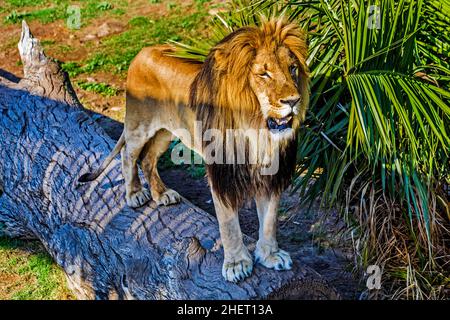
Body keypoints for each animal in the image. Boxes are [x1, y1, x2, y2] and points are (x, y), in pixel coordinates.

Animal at [80, 18, 310, 282]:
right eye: (263, 73)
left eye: (292, 68)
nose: (293, 101)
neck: (257, 127)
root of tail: (143, 51)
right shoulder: (221, 172)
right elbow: (228, 223)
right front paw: (236, 264)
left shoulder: (272, 172)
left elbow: (270, 219)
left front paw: (270, 255)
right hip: (139, 124)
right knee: (128, 153)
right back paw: (135, 194)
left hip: (166, 132)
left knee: (148, 159)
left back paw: (162, 194)